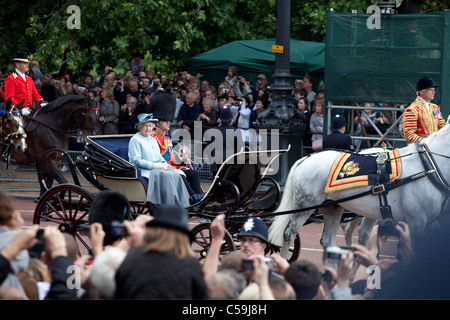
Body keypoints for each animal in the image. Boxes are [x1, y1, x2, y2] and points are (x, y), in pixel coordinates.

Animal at [268, 124, 448, 256]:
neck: (427, 165)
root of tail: (307, 157)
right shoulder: (415, 222)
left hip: (333, 207)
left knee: (330, 240)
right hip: (305, 206)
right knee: (289, 234)